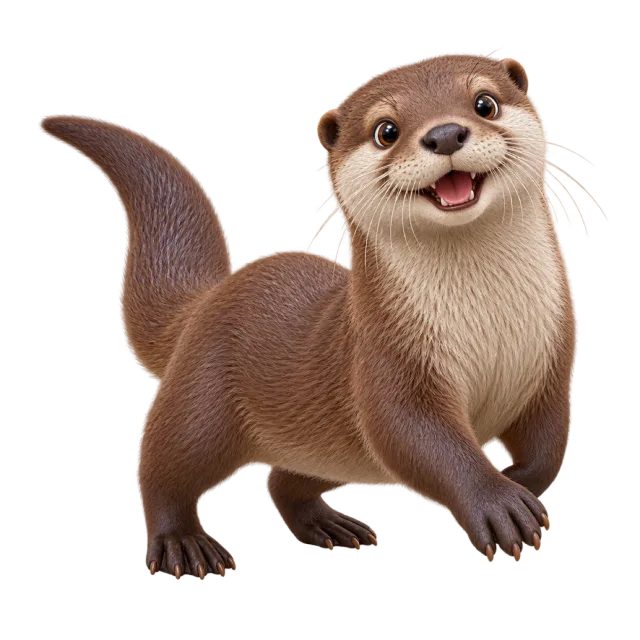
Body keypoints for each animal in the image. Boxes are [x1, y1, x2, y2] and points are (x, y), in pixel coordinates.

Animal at [39, 52, 581, 579]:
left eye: (485, 103)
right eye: (386, 130)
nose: (444, 133)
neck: (489, 329)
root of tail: (209, 297)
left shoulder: (551, 358)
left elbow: (548, 444)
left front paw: (519, 484)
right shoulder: (387, 359)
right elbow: (417, 436)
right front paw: (497, 503)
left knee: (283, 479)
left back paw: (330, 527)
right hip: (203, 396)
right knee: (162, 461)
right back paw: (184, 544)